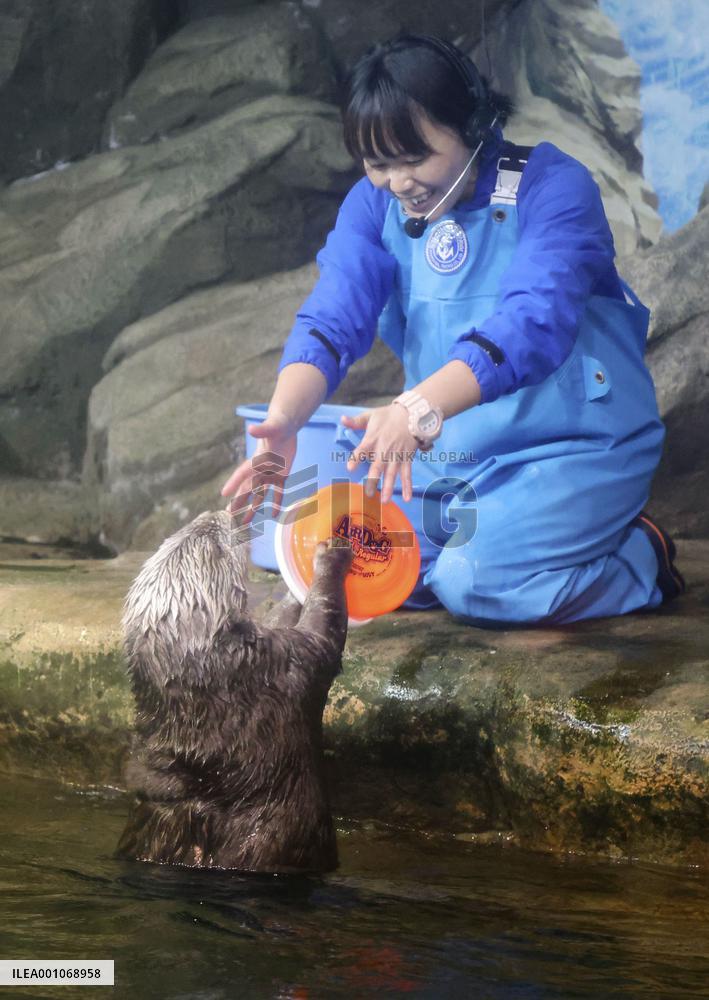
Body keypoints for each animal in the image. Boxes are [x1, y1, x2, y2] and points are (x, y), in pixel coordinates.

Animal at [116, 509, 353, 873]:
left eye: (175, 535)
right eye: (215, 542)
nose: (218, 513)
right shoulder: (289, 661)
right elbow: (325, 621)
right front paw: (330, 553)